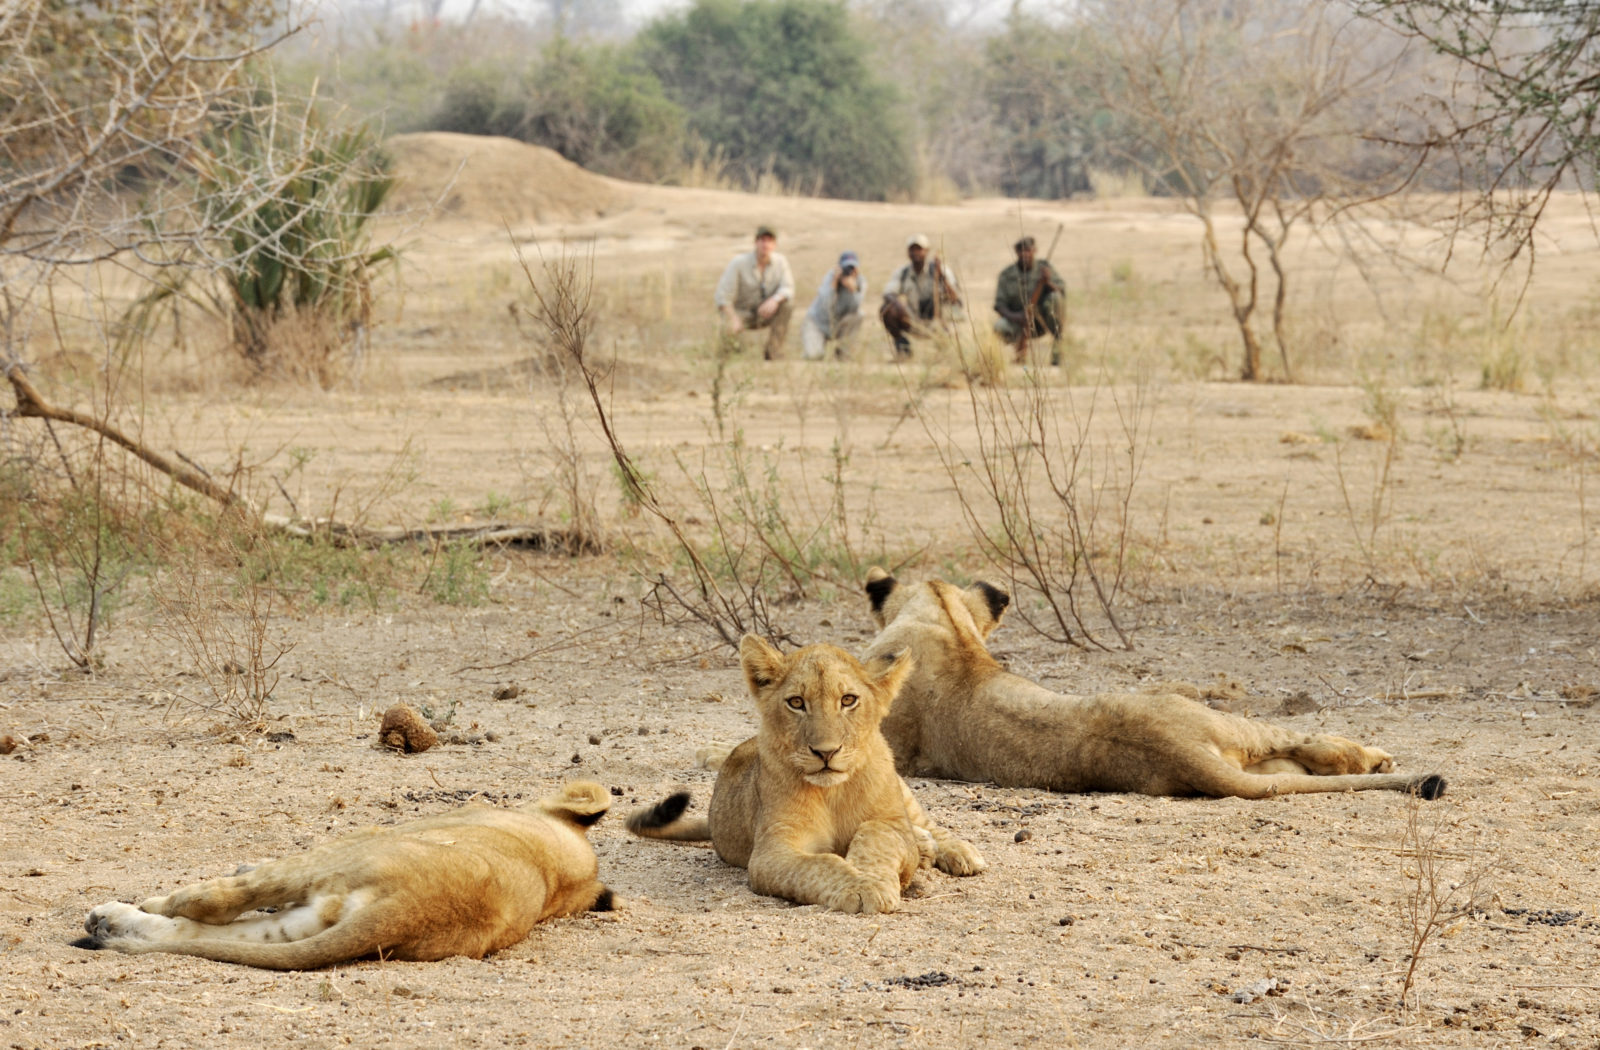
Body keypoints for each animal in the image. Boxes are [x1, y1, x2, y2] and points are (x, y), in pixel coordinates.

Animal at [75, 777, 614, 966]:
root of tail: (411, 909)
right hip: (311, 915)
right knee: (203, 934)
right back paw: (109, 924)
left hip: (330, 857)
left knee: (211, 903)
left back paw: (118, 913)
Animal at [627, 637, 979, 915]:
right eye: (796, 702)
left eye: (848, 700)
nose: (826, 752)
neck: (833, 792)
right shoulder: (772, 850)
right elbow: (820, 864)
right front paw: (862, 886)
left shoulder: (892, 823)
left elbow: (876, 834)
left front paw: (876, 878)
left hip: (902, 789)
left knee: (925, 821)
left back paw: (957, 851)